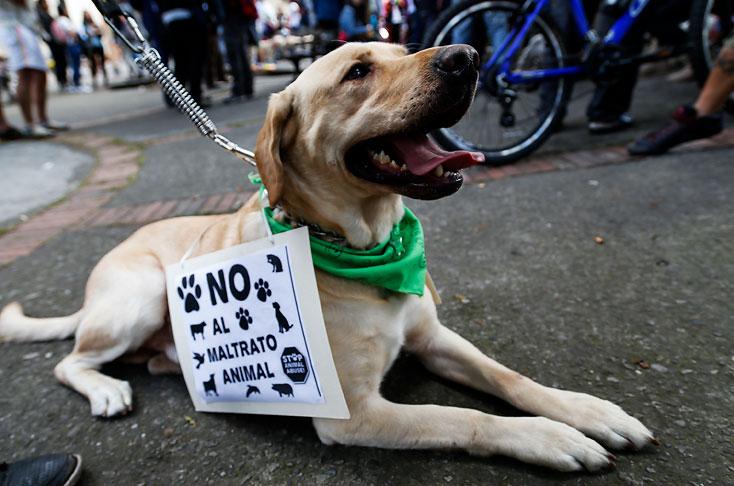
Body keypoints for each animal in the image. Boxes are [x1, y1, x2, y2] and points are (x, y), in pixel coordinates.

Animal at [0, 42, 656, 470]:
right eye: (358, 72)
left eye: (404, 48)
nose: (468, 57)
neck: (364, 245)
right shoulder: (356, 412)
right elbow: (467, 418)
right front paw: (548, 438)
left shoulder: (433, 337)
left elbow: (509, 377)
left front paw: (584, 411)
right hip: (138, 299)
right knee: (69, 362)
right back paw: (106, 389)